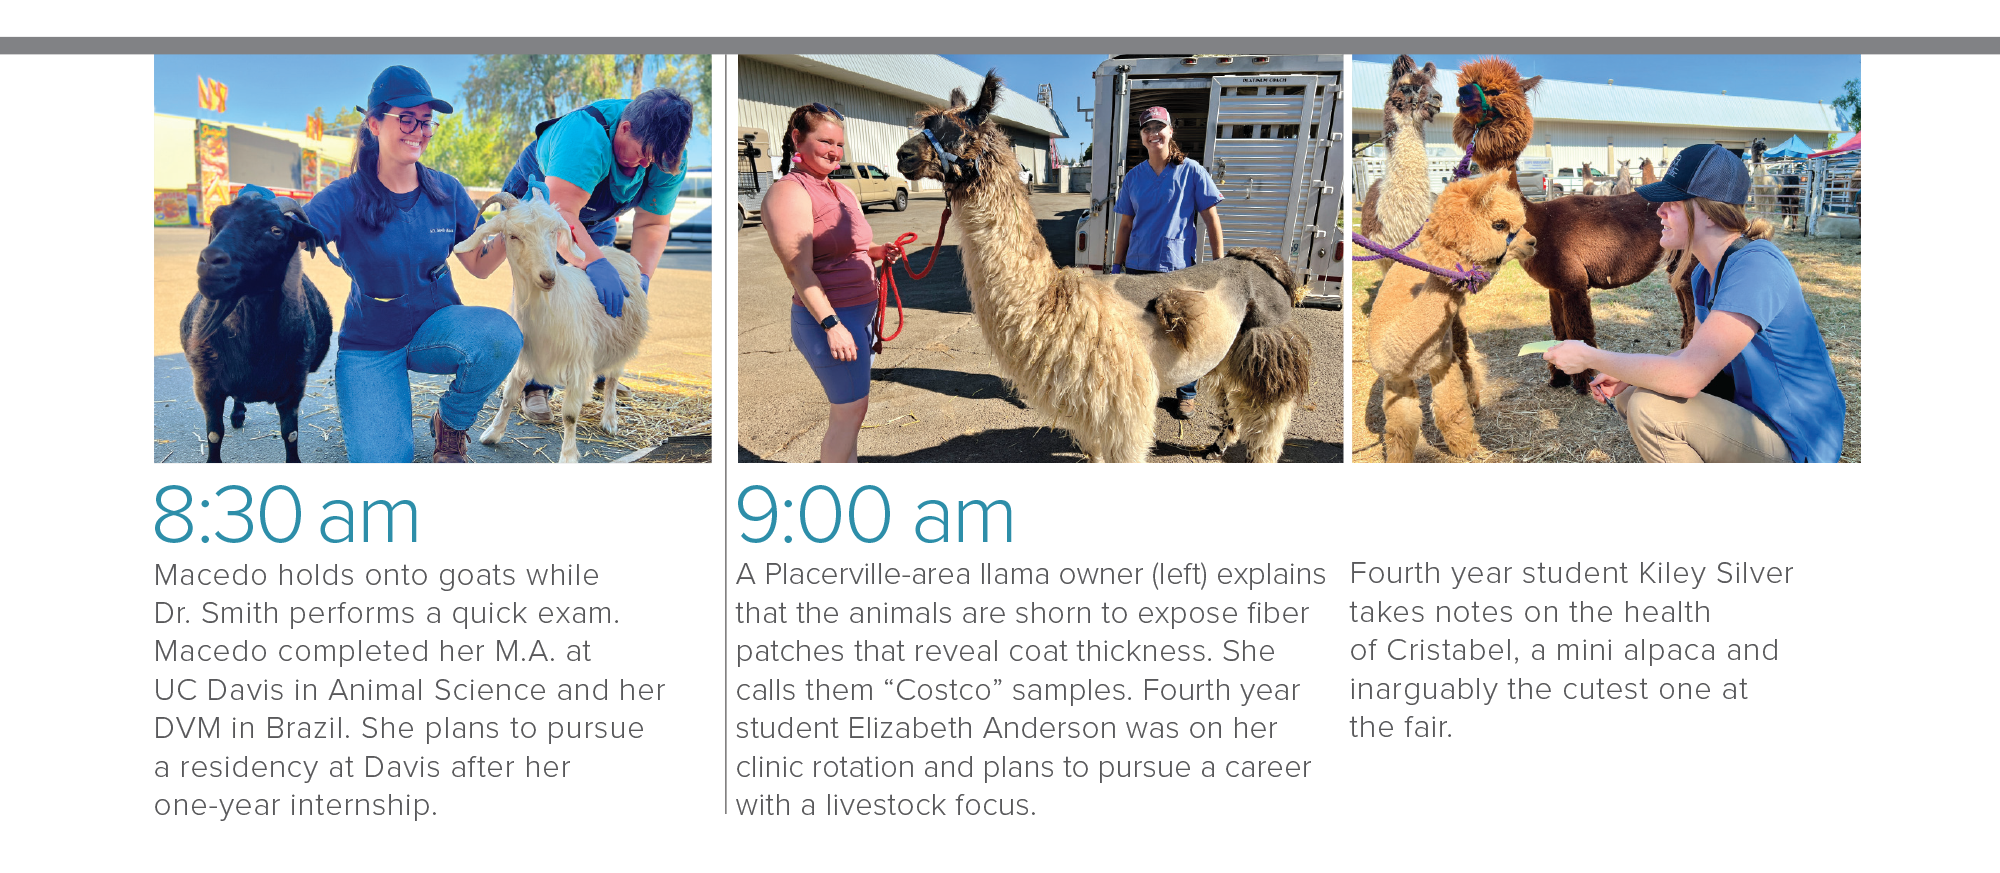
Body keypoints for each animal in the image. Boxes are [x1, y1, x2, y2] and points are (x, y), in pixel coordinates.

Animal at [186, 192, 334, 464]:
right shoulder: (206, 387)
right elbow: (214, 434)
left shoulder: (293, 387)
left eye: (276, 230)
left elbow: (291, 435)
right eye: (215, 221)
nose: (210, 261)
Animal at [454, 191, 648, 464]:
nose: (548, 276)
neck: (548, 303)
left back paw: (609, 419)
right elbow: (508, 397)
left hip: (620, 343)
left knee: (611, 380)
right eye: (513, 236)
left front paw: (567, 457)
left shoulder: (577, 362)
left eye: (554, 232)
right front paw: (493, 433)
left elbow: (569, 415)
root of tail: (615, 252)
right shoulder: (525, 358)